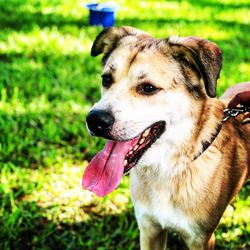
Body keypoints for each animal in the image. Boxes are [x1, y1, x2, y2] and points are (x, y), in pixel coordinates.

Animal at [82, 26, 250, 249]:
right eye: (106, 79)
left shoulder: (200, 238)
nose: (95, 120)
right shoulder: (149, 229)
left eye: (148, 88)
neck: (166, 169)